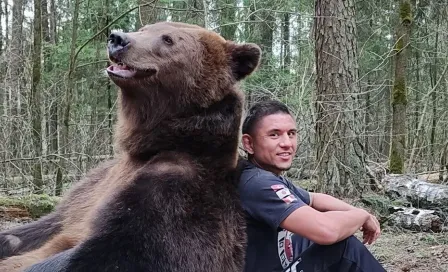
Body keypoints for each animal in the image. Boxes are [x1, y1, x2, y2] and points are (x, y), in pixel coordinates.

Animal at [0, 21, 262, 272]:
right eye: (145, 28)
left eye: (168, 39)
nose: (117, 38)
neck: (149, 145)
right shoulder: (91, 188)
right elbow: (39, 228)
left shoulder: (181, 192)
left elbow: (121, 249)